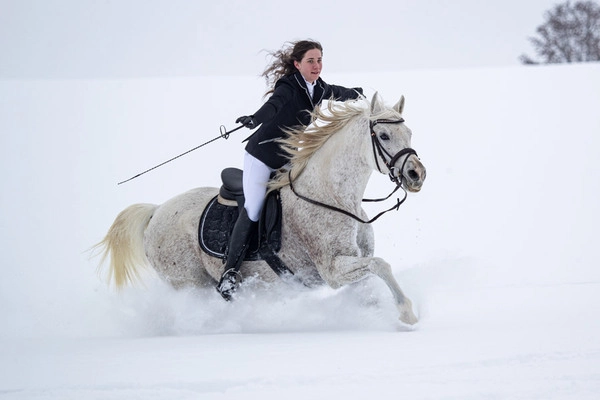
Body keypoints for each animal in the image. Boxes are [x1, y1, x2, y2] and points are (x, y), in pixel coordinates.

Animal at [95, 93, 426, 324]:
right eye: (383, 136)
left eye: (410, 134)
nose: (416, 175)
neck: (332, 195)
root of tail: (156, 211)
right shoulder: (332, 269)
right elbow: (381, 266)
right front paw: (407, 313)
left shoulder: (355, 260)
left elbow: (371, 278)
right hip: (190, 285)